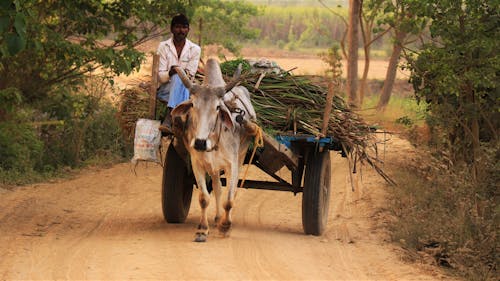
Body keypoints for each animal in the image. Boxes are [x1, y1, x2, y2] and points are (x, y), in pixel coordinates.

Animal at [172, 58, 258, 241]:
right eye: (192, 104)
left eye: (218, 107)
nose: (199, 143)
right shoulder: (197, 163)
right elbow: (204, 198)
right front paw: (202, 229)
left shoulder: (232, 164)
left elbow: (229, 199)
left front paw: (225, 226)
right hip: (213, 168)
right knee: (217, 187)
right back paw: (218, 217)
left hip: (240, 158)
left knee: (231, 190)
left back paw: (223, 221)